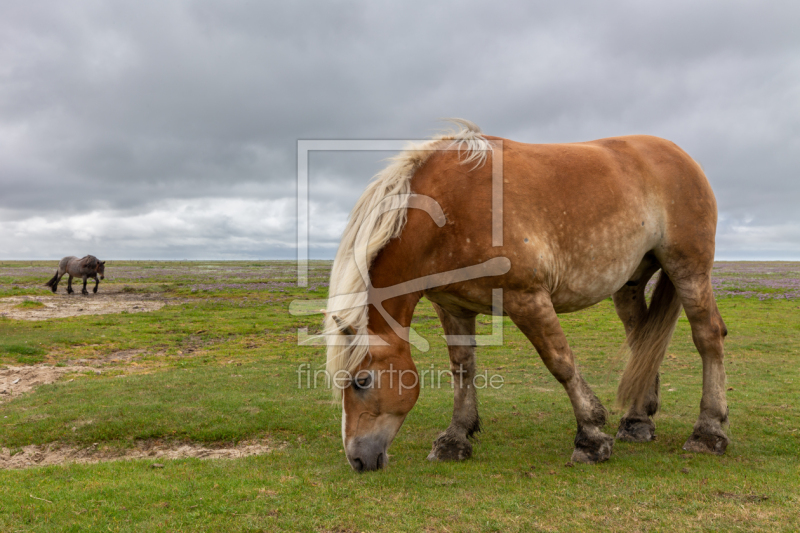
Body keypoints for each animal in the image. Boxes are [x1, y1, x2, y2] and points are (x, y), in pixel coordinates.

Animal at [322, 119, 728, 470]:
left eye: (362, 381)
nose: (357, 459)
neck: (451, 210)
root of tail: (680, 155)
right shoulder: (452, 307)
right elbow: (462, 369)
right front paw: (456, 438)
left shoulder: (527, 298)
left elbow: (560, 362)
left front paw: (591, 436)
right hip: (629, 284)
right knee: (643, 341)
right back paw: (637, 421)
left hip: (688, 269)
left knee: (708, 336)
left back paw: (709, 431)